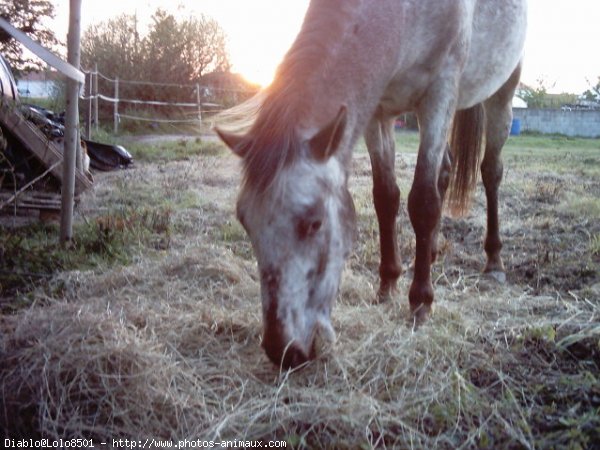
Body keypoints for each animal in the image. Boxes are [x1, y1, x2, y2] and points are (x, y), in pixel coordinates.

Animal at [216, 0, 524, 368]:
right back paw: (433, 251)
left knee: (490, 171)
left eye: (314, 222)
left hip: (502, 91)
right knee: (445, 171)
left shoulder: (439, 95)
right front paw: (387, 284)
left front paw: (420, 302)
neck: (405, 13)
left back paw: (494, 261)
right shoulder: (377, 111)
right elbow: (386, 196)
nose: (282, 350)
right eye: (245, 221)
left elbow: (423, 201)